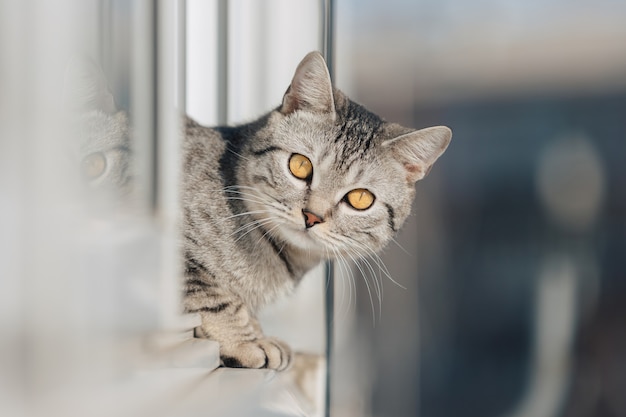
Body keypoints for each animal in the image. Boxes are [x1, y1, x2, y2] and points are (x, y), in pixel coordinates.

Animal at [180, 50, 448, 368]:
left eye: (360, 199)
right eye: (300, 165)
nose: (312, 216)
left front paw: (256, 331)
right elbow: (213, 296)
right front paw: (246, 341)